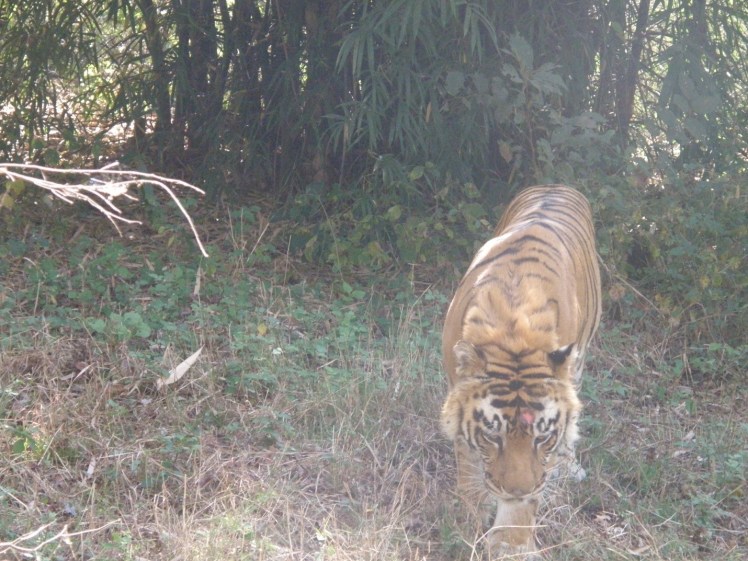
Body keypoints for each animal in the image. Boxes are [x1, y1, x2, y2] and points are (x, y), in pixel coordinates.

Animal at [440, 184, 601, 557]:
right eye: (491, 436)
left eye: (542, 437)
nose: (516, 491)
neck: (512, 327)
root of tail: (555, 185)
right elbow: (468, 464)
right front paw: (469, 514)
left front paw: (511, 545)